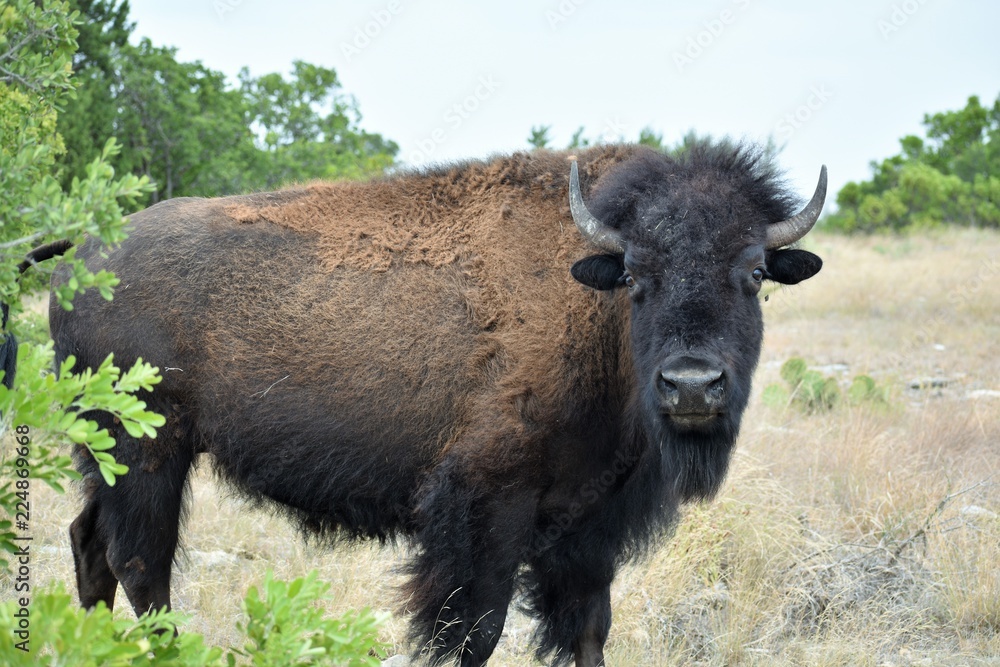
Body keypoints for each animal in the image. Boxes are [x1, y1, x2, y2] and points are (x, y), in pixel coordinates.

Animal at [15, 140, 824, 664]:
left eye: (754, 272)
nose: (692, 386)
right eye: (634, 274)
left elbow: (589, 628)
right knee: (141, 564)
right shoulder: (486, 506)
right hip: (148, 449)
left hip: (107, 453)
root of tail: (85, 249)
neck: (588, 302)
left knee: (90, 544)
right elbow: (472, 631)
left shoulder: (591, 524)